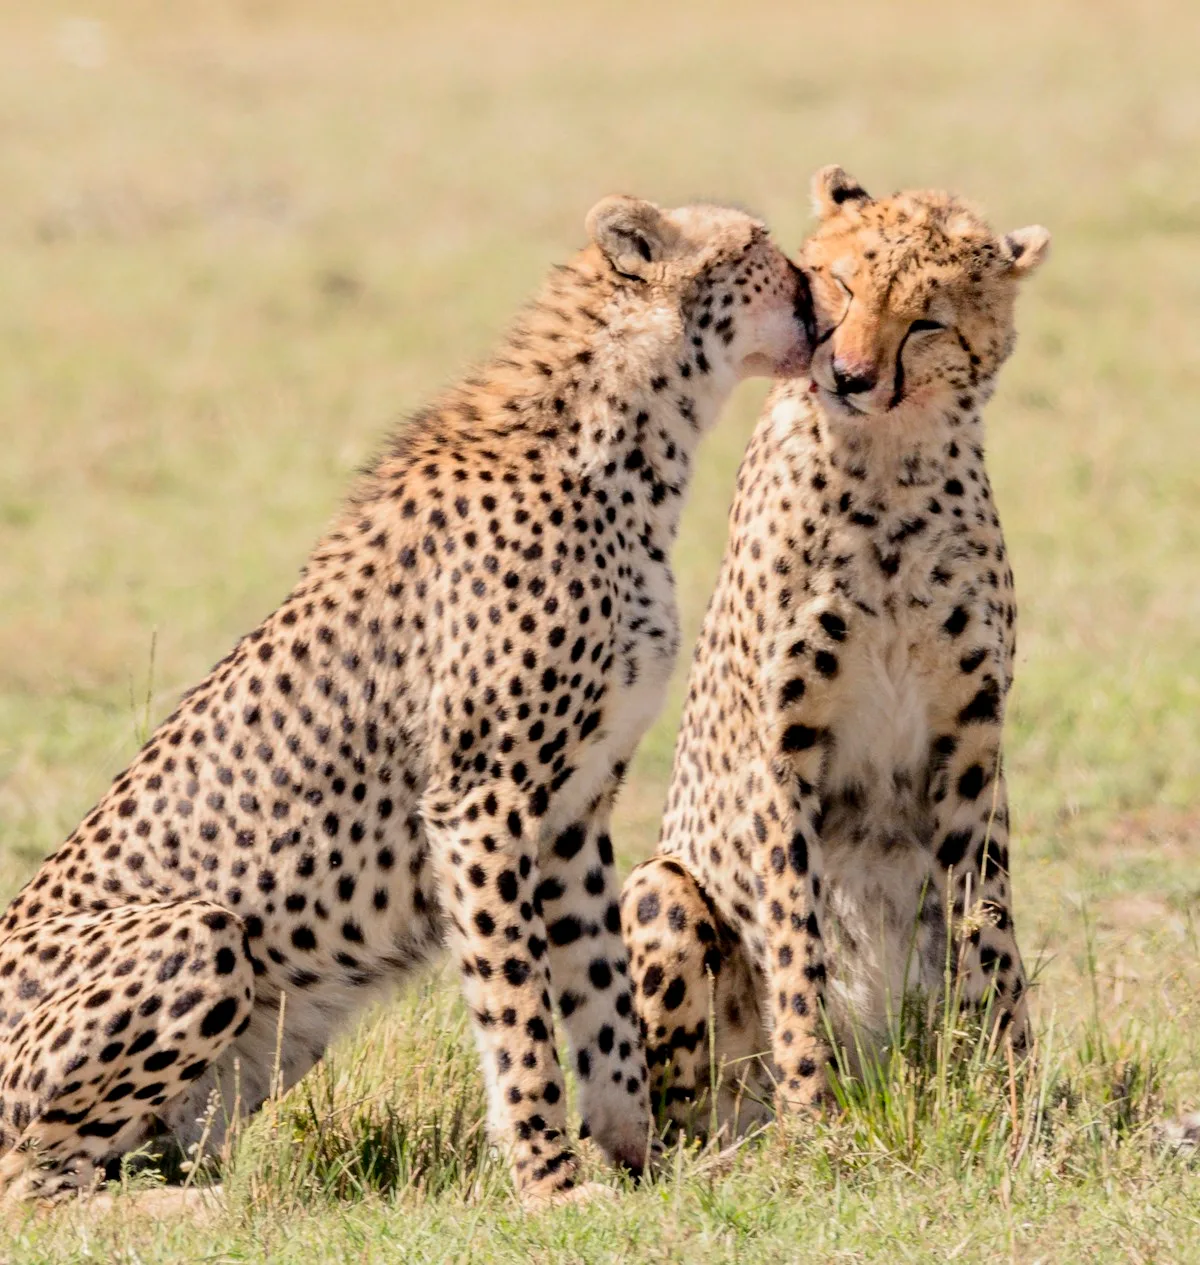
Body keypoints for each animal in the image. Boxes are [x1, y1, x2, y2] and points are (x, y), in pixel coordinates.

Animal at [0, 195, 814, 1206]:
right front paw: (550, 1182)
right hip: (204, 931)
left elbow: (603, 1004)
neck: (624, 445)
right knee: (31, 1181)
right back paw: (202, 1208)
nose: (824, 293)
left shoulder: (574, 808)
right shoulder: (481, 797)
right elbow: (517, 1009)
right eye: (761, 246)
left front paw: (640, 1167)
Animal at [621, 166, 1050, 1138]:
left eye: (926, 320)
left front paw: (1015, 1100)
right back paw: (746, 1134)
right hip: (660, 888)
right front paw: (814, 1111)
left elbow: (990, 927)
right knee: (679, 1109)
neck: (888, 466)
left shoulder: (971, 746)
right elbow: (795, 940)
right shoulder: (783, 751)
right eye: (844, 286)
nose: (849, 376)